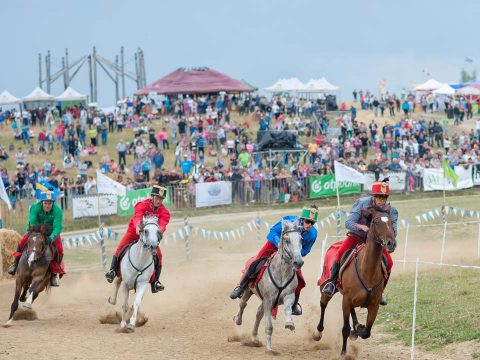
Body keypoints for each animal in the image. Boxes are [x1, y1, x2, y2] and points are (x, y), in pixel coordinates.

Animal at [232, 219, 304, 352]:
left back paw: (254, 338)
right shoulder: (268, 300)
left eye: (301, 239)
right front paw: (269, 349)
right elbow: (269, 326)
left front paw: (289, 323)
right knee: (242, 304)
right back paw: (238, 320)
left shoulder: (288, 296)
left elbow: (287, 309)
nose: (298, 262)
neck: (281, 272)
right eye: (287, 240)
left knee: (259, 313)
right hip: (248, 291)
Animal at [314, 207, 396, 356]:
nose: (390, 243)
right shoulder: (346, 301)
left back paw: (357, 325)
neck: (367, 271)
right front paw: (343, 353)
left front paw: (358, 329)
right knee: (323, 305)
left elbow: (367, 332)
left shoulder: (374, 306)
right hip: (325, 288)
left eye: (391, 222)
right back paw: (318, 332)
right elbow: (345, 329)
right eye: (376, 222)